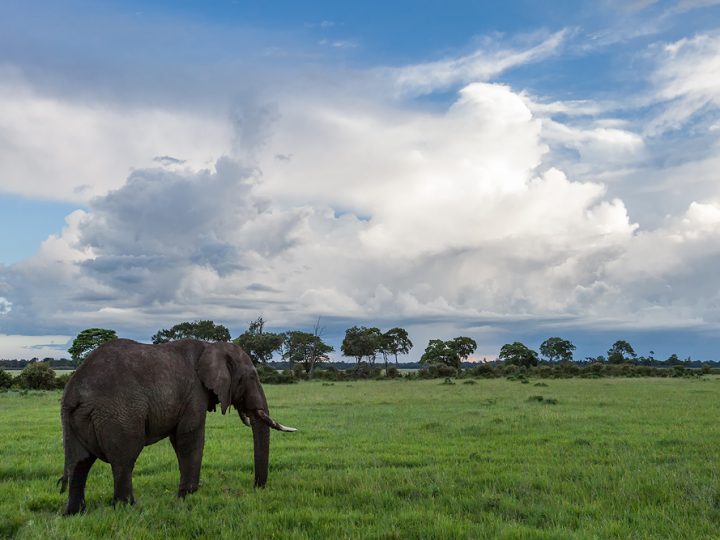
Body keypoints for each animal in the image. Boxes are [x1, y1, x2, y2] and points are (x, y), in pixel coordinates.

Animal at [58, 338, 296, 516]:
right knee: (124, 459)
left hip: (75, 421)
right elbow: (189, 437)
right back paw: (129, 508)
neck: (211, 346)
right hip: (118, 414)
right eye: (252, 377)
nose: (257, 488)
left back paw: (75, 513)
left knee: (80, 462)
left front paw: (185, 496)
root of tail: (74, 391)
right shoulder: (194, 393)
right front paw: (187, 497)